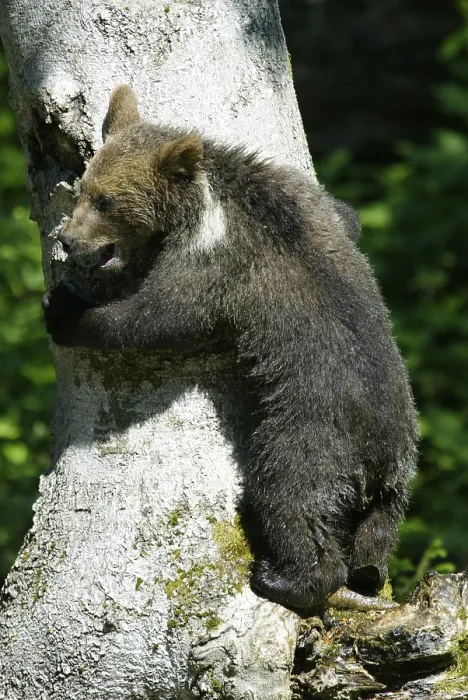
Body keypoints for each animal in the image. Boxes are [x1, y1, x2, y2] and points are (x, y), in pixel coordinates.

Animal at [43, 85, 418, 611]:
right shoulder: (304, 197)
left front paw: (65, 310)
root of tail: (379, 450)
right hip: (402, 463)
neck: (206, 196)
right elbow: (348, 216)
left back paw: (282, 577)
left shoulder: (214, 260)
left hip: (309, 429)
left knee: (288, 493)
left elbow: (160, 317)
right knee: (377, 533)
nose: (67, 239)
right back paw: (366, 573)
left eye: (106, 201)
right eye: (81, 191)